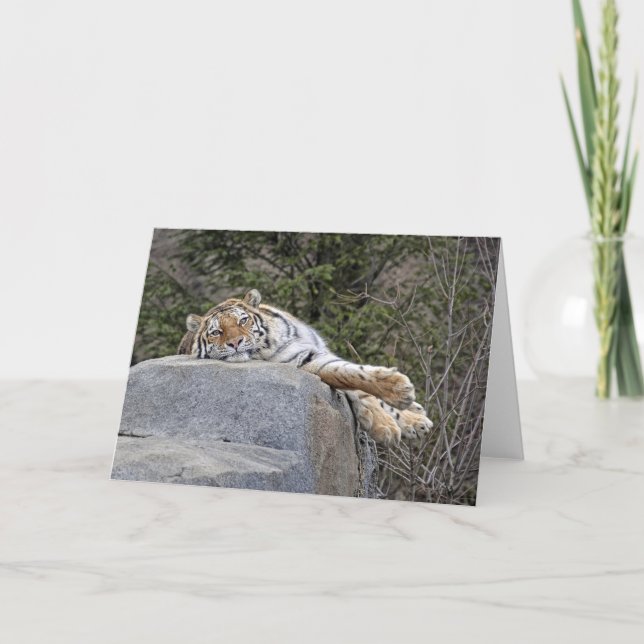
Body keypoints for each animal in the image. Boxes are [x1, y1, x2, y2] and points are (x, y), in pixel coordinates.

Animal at [177, 289, 433, 445]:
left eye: (243, 320)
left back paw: (418, 419)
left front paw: (403, 402)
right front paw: (387, 422)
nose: (235, 343)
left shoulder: (315, 351)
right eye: (216, 332)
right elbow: (349, 377)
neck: (272, 342)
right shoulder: (304, 363)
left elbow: (357, 377)